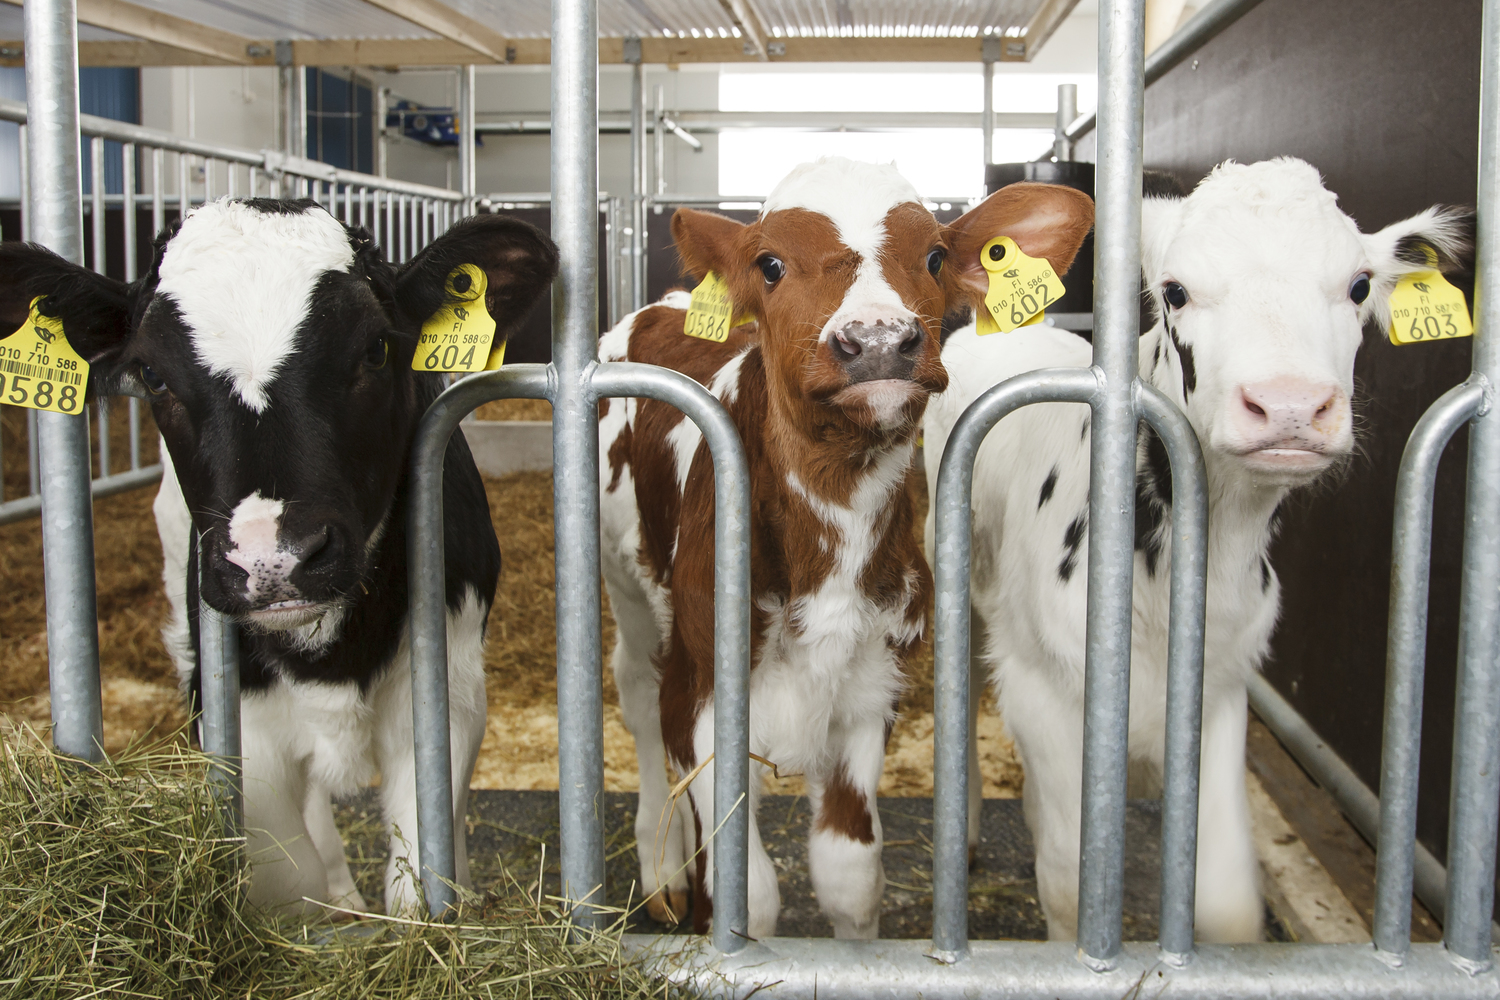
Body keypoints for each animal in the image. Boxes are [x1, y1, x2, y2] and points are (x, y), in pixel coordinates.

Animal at [0, 198, 558, 915]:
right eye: (151, 374)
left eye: (376, 349)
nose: (273, 560)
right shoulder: (238, 718)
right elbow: (291, 878)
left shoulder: (449, 688)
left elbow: (422, 870)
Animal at [599, 157, 1094, 938]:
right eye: (770, 263)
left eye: (933, 256)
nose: (881, 341)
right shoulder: (701, 695)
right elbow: (747, 894)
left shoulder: (868, 691)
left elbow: (850, 876)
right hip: (626, 581)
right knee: (638, 696)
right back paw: (661, 873)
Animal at [922, 157, 1471, 942]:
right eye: (1176, 291)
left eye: (1360, 285)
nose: (1290, 406)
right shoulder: (1043, 688)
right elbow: (1069, 883)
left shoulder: (1218, 687)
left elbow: (1226, 903)